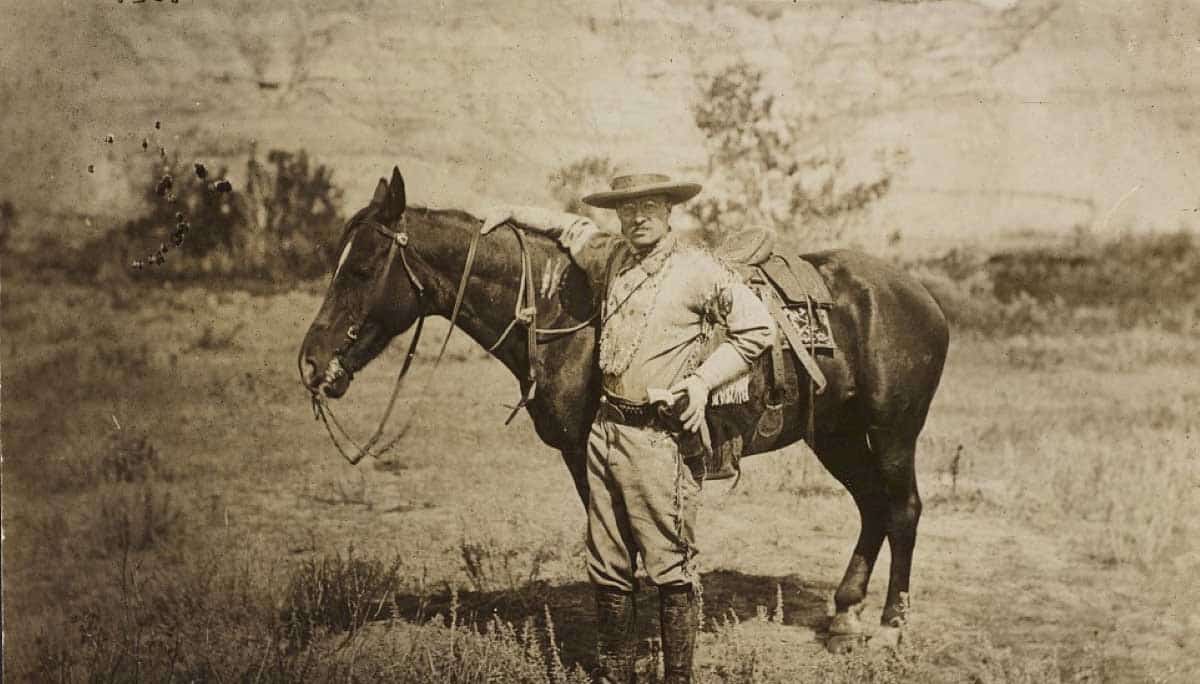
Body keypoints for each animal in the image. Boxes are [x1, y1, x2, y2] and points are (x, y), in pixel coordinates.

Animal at [302, 166, 955, 648]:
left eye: (362, 268)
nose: (311, 362)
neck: (559, 315)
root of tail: (920, 294)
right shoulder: (585, 456)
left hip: (893, 431)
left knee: (903, 510)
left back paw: (890, 629)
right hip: (836, 435)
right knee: (872, 506)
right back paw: (844, 617)